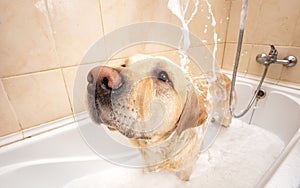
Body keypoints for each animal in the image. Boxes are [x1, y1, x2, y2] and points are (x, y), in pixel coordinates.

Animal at [85, 54, 233, 181]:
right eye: (124, 64)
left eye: (163, 76)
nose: (97, 76)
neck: (158, 146)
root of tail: (222, 73)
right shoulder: (149, 168)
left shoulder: (185, 174)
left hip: (226, 115)